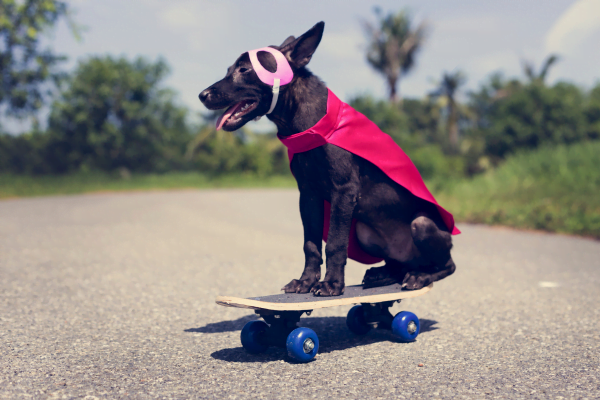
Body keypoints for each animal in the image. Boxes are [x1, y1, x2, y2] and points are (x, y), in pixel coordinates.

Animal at [199, 21, 458, 296]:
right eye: (229, 70)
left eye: (244, 69)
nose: (202, 95)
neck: (312, 127)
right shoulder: (308, 195)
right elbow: (310, 245)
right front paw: (305, 281)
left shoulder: (343, 192)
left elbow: (334, 243)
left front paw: (332, 283)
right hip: (364, 233)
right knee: (398, 264)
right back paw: (383, 274)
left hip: (421, 224)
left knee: (447, 265)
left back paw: (419, 276)